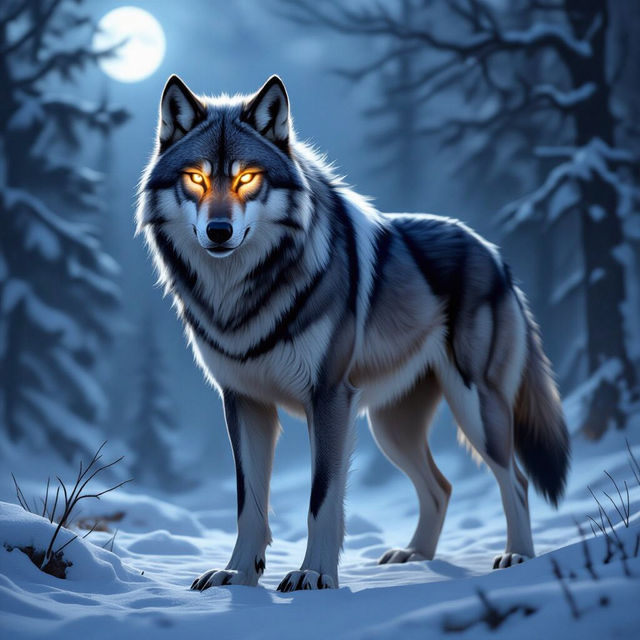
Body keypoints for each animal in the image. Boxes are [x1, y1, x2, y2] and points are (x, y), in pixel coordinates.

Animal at [137, 75, 570, 592]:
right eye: (196, 178)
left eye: (247, 178)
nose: (219, 231)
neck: (244, 294)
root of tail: (492, 251)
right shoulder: (243, 401)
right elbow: (249, 505)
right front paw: (237, 574)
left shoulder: (328, 398)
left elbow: (321, 499)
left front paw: (314, 575)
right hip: (391, 428)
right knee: (441, 487)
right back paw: (415, 556)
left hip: (475, 407)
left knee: (516, 481)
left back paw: (517, 556)